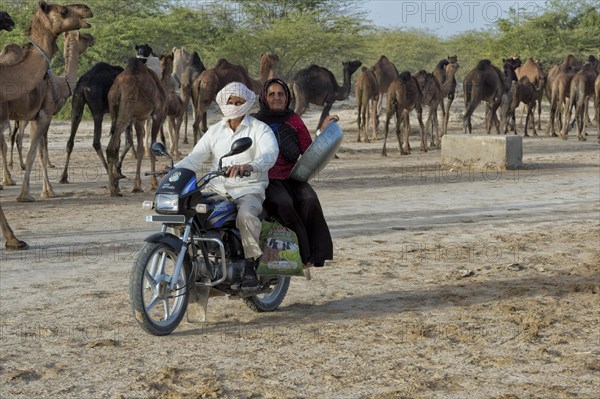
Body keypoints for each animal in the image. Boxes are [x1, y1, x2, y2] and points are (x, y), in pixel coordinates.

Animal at [106, 57, 166, 198]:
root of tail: (117, 89)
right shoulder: (157, 114)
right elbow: (152, 148)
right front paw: (154, 183)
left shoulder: (139, 119)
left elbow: (140, 149)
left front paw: (137, 185)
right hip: (125, 116)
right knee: (111, 147)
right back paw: (113, 190)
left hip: (114, 113)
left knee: (114, 147)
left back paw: (115, 188)